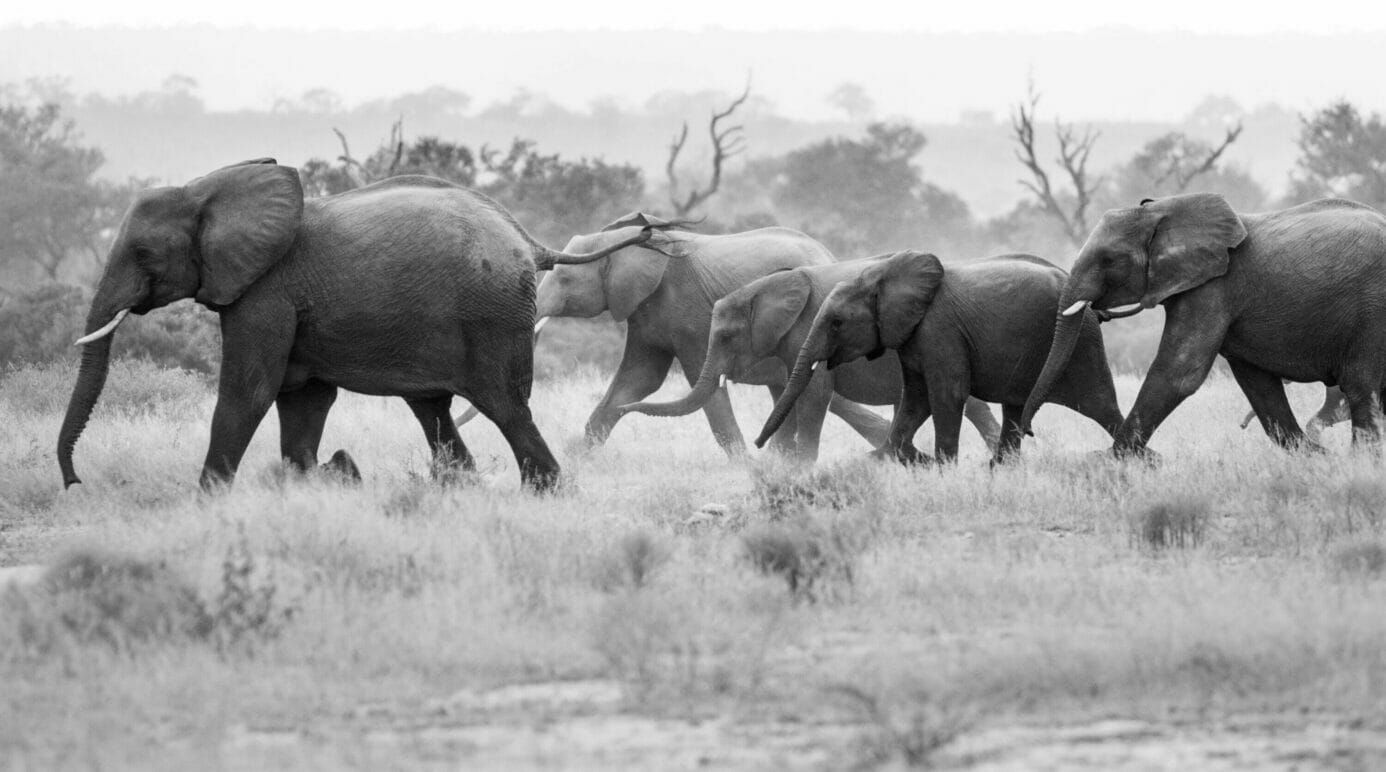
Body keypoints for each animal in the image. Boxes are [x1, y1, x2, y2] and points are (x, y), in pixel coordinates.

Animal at [56, 160, 657, 492]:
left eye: (142, 253)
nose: (74, 483)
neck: (208, 188)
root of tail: (530, 243)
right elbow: (303, 399)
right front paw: (328, 476)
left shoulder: (265, 294)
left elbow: (248, 392)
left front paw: (208, 502)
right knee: (433, 409)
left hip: (493, 314)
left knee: (505, 406)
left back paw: (547, 493)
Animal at [466, 213, 899, 455]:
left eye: (567, 279)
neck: (622, 244)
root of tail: (828, 254)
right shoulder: (644, 311)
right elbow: (639, 378)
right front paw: (580, 456)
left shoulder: (689, 311)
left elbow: (693, 384)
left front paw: (743, 465)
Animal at [614, 259, 1002, 460]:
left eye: (725, 337)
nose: (756, 445)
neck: (766, 286)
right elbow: (792, 392)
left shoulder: (810, 331)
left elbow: (813, 395)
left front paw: (798, 467)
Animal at [756, 251, 1124, 464]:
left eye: (836, 323)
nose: (759, 444)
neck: (880, 277)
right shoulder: (912, 338)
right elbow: (915, 399)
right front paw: (893, 457)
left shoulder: (940, 331)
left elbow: (946, 395)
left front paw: (941, 467)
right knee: (1016, 409)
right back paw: (1000, 470)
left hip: (1083, 342)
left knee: (1098, 403)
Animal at [1021, 194, 1386, 454]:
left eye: (1109, 260)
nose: (1029, 433)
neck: (1163, 210)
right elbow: (1259, 386)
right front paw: (1318, 459)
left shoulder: (1212, 287)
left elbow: (1179, 373)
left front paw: (1106, 464)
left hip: (1372, 308)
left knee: (1360, 386)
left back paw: (1361, 463)